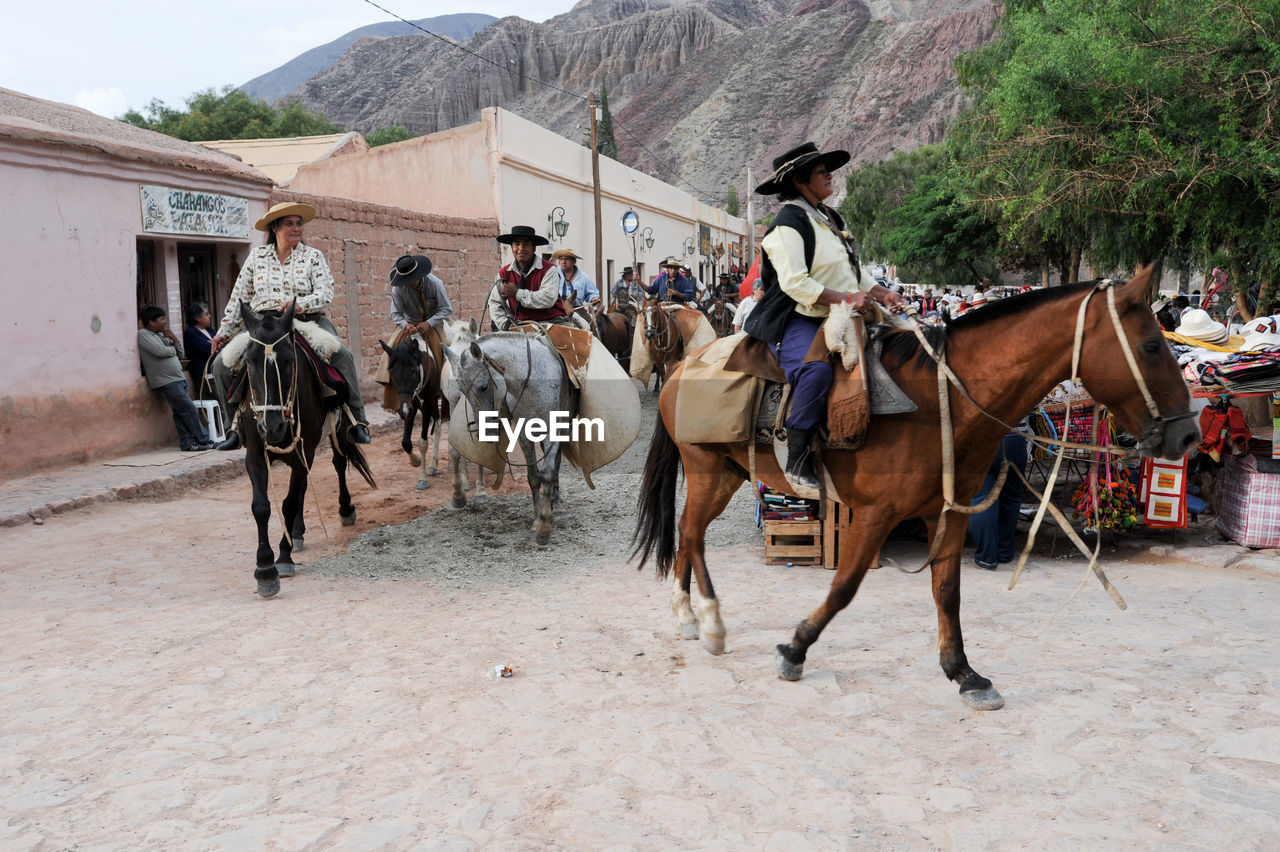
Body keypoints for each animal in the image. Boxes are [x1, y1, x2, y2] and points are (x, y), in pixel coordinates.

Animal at [230, 301, 373, 593]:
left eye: (289, 360)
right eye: (249, 361)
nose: (271, 427)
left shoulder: (303, 452)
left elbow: (288, 503)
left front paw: (282, 560)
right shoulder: (255, 456)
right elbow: (261, 506)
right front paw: (264, 567)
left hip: (335, 431)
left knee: (338, 464)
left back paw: (344, 509)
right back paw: (296, 532)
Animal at [629, 268, 1198, 706]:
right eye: (1151, 345)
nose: (1188, 434)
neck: (941, 399)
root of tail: (681, 365)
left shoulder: (949, 511)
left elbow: (947, 591)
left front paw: (964, 673)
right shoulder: (875, 514)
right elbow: (844, 587)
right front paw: (795, 650)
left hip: (726, 473)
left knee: (688, 534)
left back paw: (689, 615)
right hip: (706, 470)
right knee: (692, 534)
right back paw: (707, 622)